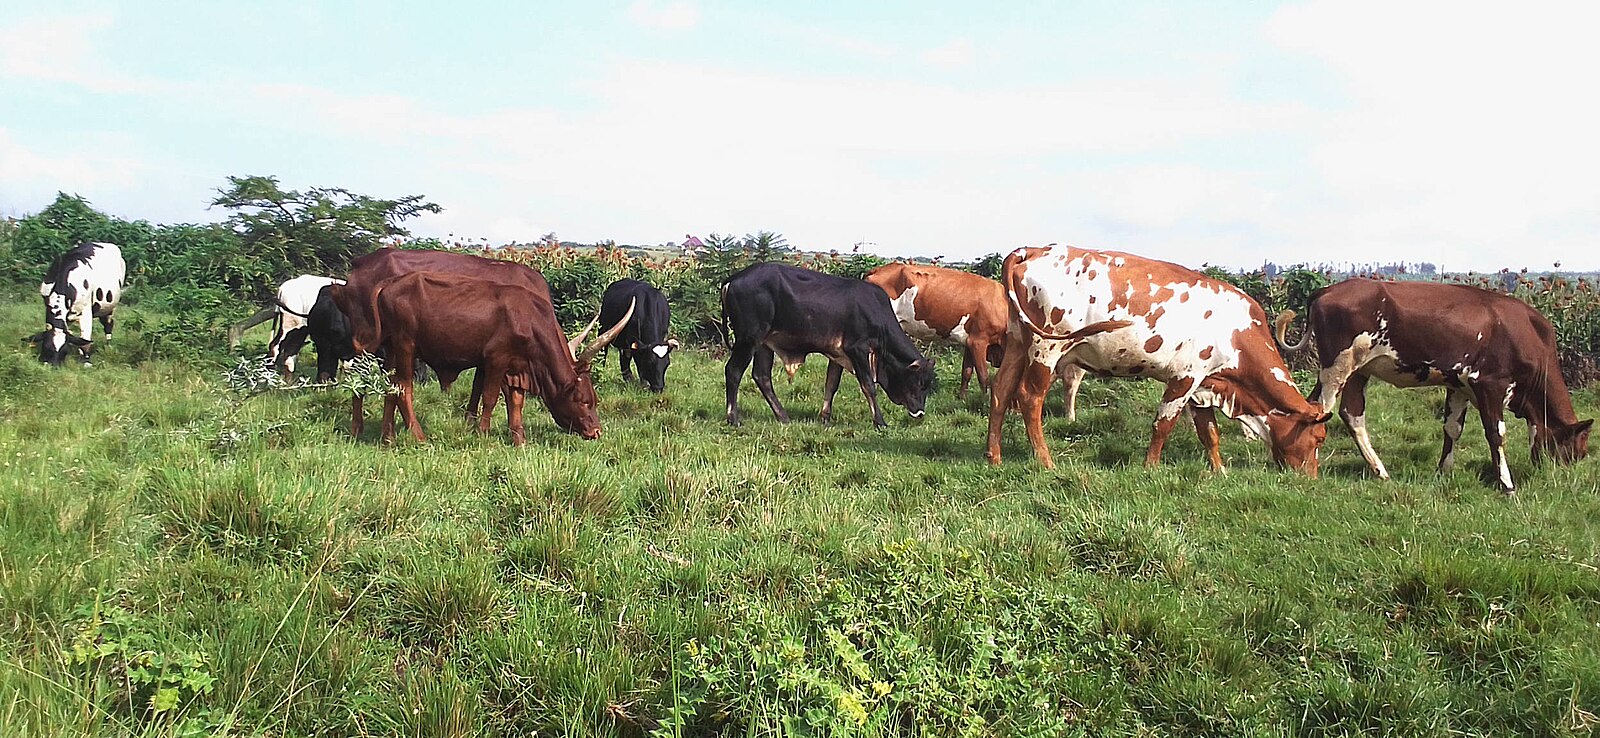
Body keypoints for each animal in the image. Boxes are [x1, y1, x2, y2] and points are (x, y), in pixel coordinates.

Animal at [351, 270, 633, 445]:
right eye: (583, 401)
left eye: (594, 400)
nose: (596, 431)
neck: (528, 318)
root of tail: (390, 283)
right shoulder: (496, 359)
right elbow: (489, 397)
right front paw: (483, 433)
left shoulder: (517, 366)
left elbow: (516, 401)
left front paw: (519, 439)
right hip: (405, 346)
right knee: (403, 389)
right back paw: (418, 436)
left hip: (391, 348)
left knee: (390, 389)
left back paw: (388, 438)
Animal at [721, 262, 938, 428]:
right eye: (920, 383)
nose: (919, 413)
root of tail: (733, 279)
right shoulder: (857, 349)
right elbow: (868, 386)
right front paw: (880, 422)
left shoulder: (838, 353)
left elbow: (831, 384)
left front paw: (825, 417)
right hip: (748, 339)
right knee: (733, 371)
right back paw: (733, 418)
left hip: (764, 344)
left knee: (762, 376)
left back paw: (783, 417)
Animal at [986, 245, 1330, 475]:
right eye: (1318, 438)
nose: (1310, 478)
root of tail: (1032, 250)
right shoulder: (1185, 377)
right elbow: (1163, 424)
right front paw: (1150, 467)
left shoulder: (1204, 385)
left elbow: (1209, 433)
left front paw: (1219, 471)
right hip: (1046, 346)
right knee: (1029, 398)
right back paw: (1045, 461)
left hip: (1018, 341)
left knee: (1000, 391)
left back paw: (994, 456)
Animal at [1275, 278, 1592, 493]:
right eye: (1577, 449)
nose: (1565, 480)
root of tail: (1326, 290)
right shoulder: (1490, 384)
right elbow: (1496, 434)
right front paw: (1506, 483)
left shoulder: (1460, 386)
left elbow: (1453, 429)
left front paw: (1444, 471)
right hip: (1338, 366)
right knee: (1322, 409)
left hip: (1357, 371)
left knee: (1349, 414)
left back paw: (1379, 470)